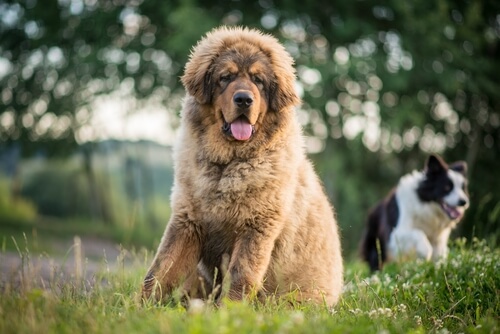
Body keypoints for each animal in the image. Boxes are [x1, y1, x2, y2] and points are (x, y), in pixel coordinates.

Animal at [142, 26, 344, 306]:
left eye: (258, 80)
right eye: (225, 78)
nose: (244, 99)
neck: (227, 164)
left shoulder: (256, 228)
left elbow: (240, 275)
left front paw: (228, 310)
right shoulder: (187, 222)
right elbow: (159, 270)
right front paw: (138, 307)